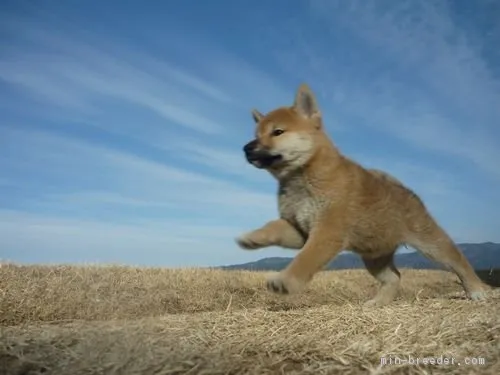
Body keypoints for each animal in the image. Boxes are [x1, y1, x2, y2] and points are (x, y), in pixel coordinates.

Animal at [236, 83, 490, 306]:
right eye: (256, 134)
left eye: (277, 132)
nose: (246, 148)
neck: (302, 176)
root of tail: (408, 192)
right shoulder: (300, 229)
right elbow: (273, 227)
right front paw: (252, 238)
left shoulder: (327, 232)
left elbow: (305, 260)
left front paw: (286, 281)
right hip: (374, 256)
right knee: (394, 277)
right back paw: (379, 302)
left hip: (431, 243)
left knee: (458, 260)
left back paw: (476, 291)